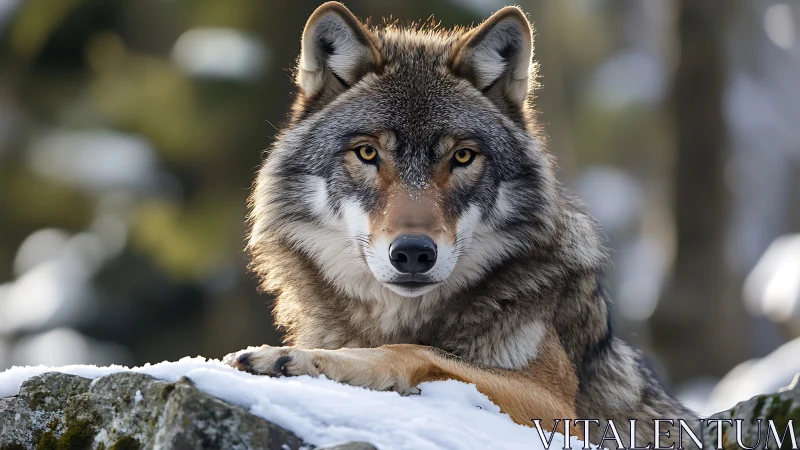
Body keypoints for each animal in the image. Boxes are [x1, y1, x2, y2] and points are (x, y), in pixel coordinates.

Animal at [225, 2, 697, 445]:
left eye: (463, 156)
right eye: (367, 153)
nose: (413, 253)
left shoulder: (557, 406)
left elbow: (412, 350)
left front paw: (294, 357)